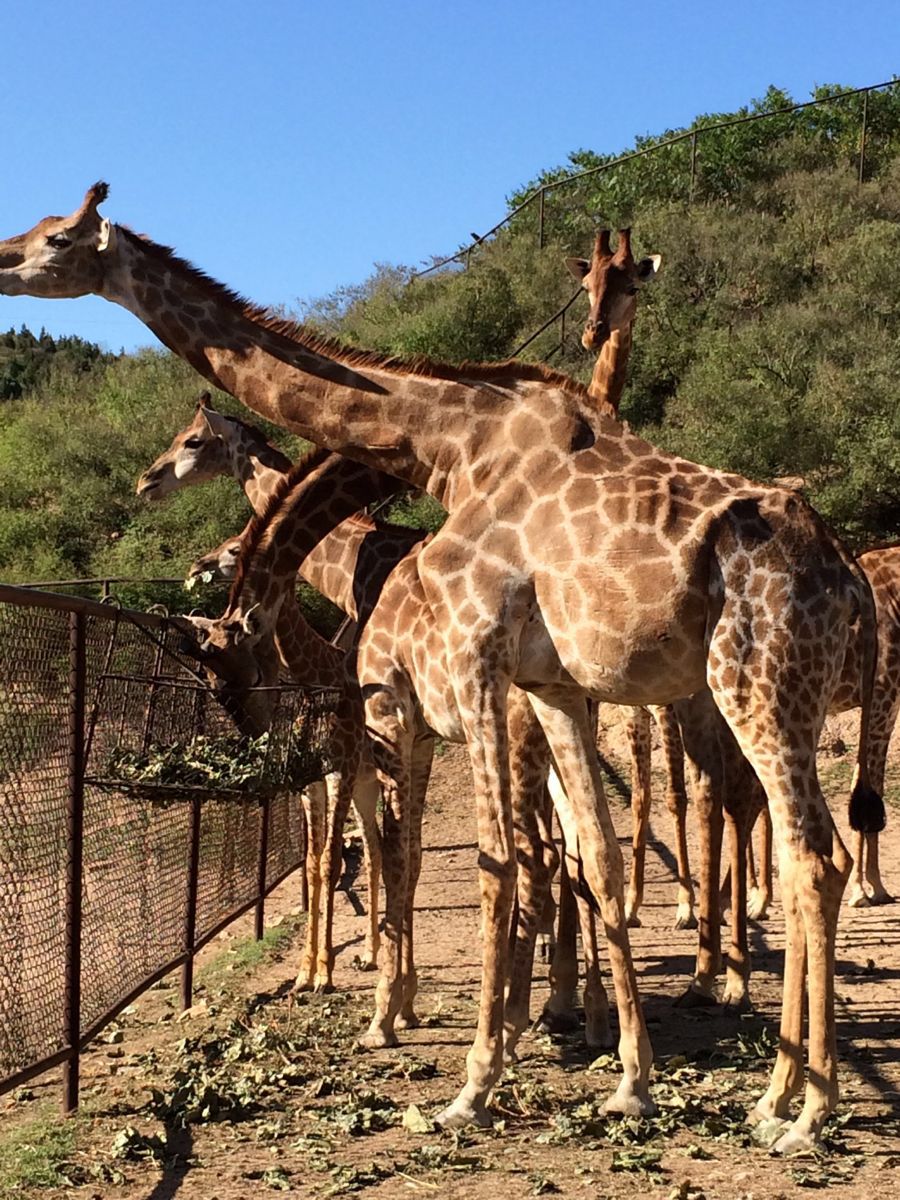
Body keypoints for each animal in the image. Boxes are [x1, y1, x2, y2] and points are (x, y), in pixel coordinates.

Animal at [0, 182, 888, 1147]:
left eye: (57, 239)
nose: (3, 260)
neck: (450, 446)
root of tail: (848, 579)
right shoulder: (550, 684)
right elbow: (596, 861)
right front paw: (631, 1081)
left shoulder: (466, 661)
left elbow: (488, 858)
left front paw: (470, 1078)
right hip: (767, 696)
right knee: (781, 840)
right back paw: (770, 1093)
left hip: (754, 683)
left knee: (810, 855)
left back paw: (809, 1108)